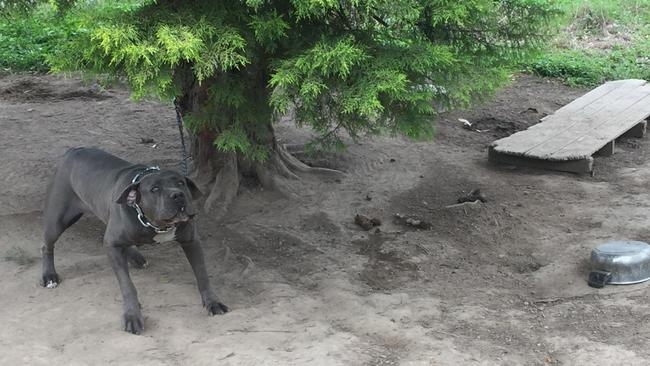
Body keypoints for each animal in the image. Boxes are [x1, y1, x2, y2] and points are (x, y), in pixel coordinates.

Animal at [40, 147, 228, 334]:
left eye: (181, 183)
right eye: (154, 189)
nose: (178, 195)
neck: (157, 225)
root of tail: (73, 150)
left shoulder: (191, 241)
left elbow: (202, 275)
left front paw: (213, 302)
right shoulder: (112, 245)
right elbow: (127, 285)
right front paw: (132, 315)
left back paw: (136, 257)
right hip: (58, 220)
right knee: (46, 245)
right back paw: (49, 276)